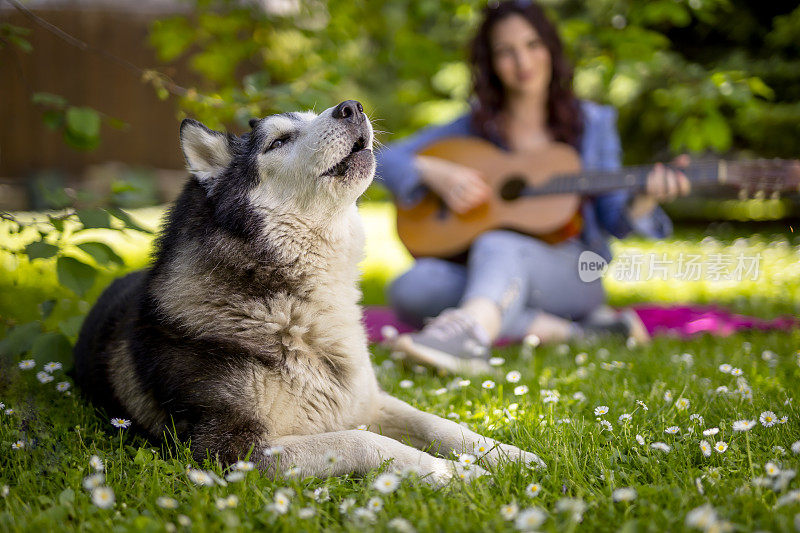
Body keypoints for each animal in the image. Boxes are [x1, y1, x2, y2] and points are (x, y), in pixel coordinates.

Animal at [73, 100, 544, 482]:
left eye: (312, 117)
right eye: (279, 141)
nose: (351, 106)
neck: (296, 310)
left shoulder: (368, 403)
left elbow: (436, 423)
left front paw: (507, 455)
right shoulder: (229, 452)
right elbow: (365, 442)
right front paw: (451, 474)